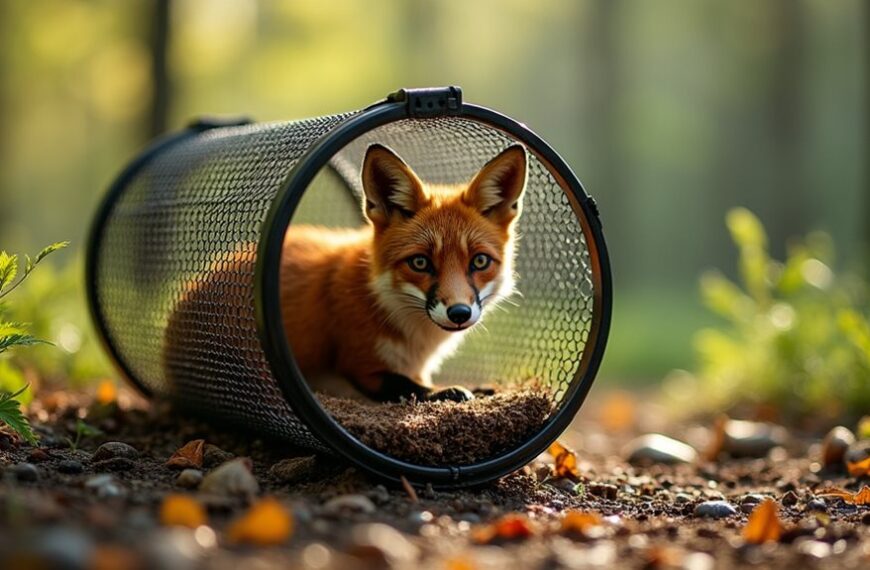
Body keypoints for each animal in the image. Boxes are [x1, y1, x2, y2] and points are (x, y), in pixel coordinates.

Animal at [164, 143, 528, 404]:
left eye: (479, 262)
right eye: (420, 263)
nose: (459, 313)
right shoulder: (360, 364)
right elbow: (406, 387)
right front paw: (448, 392)